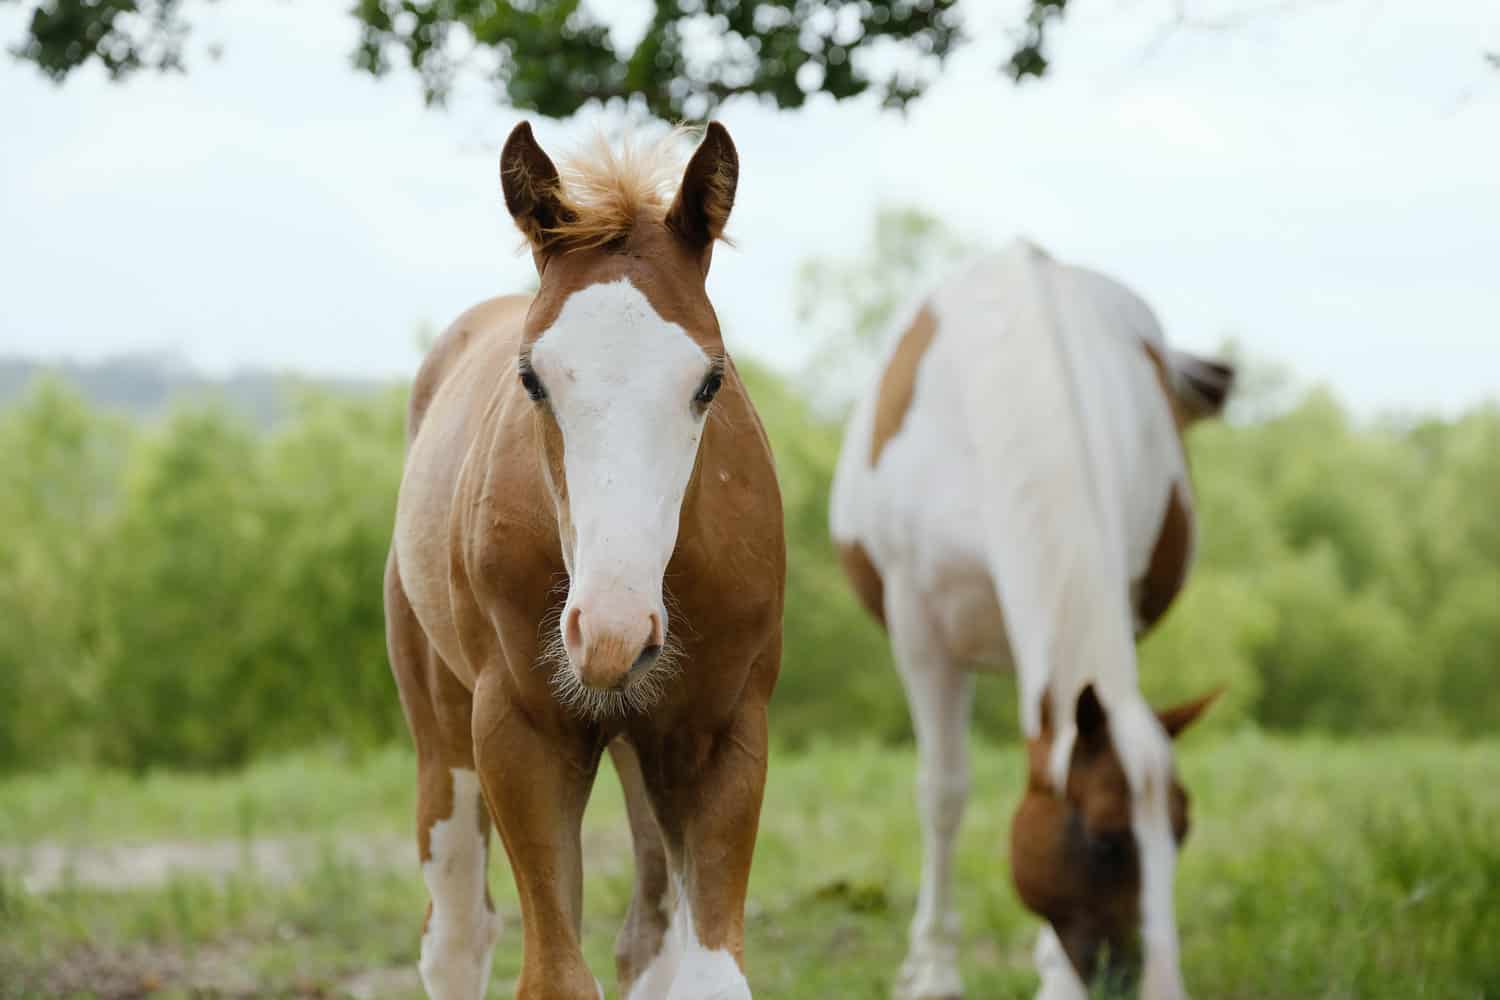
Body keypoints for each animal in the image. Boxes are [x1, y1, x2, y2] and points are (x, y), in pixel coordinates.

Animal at [385, 121, 784, 1000]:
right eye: (532, 379)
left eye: (710, 381)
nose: (611, 635)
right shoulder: (521, 735)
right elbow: (555, 976)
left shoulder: (721, 735)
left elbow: (707, 973)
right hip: (443, 736)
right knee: (456, 937)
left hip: (643, 749)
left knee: (648, 938)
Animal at [829, 239, 1235, 1000]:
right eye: (1105, 839)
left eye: (1183, 832)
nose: (1160, 987)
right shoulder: (920, 629)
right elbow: (943, 793)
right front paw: (934, 969)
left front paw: (1055, 975)